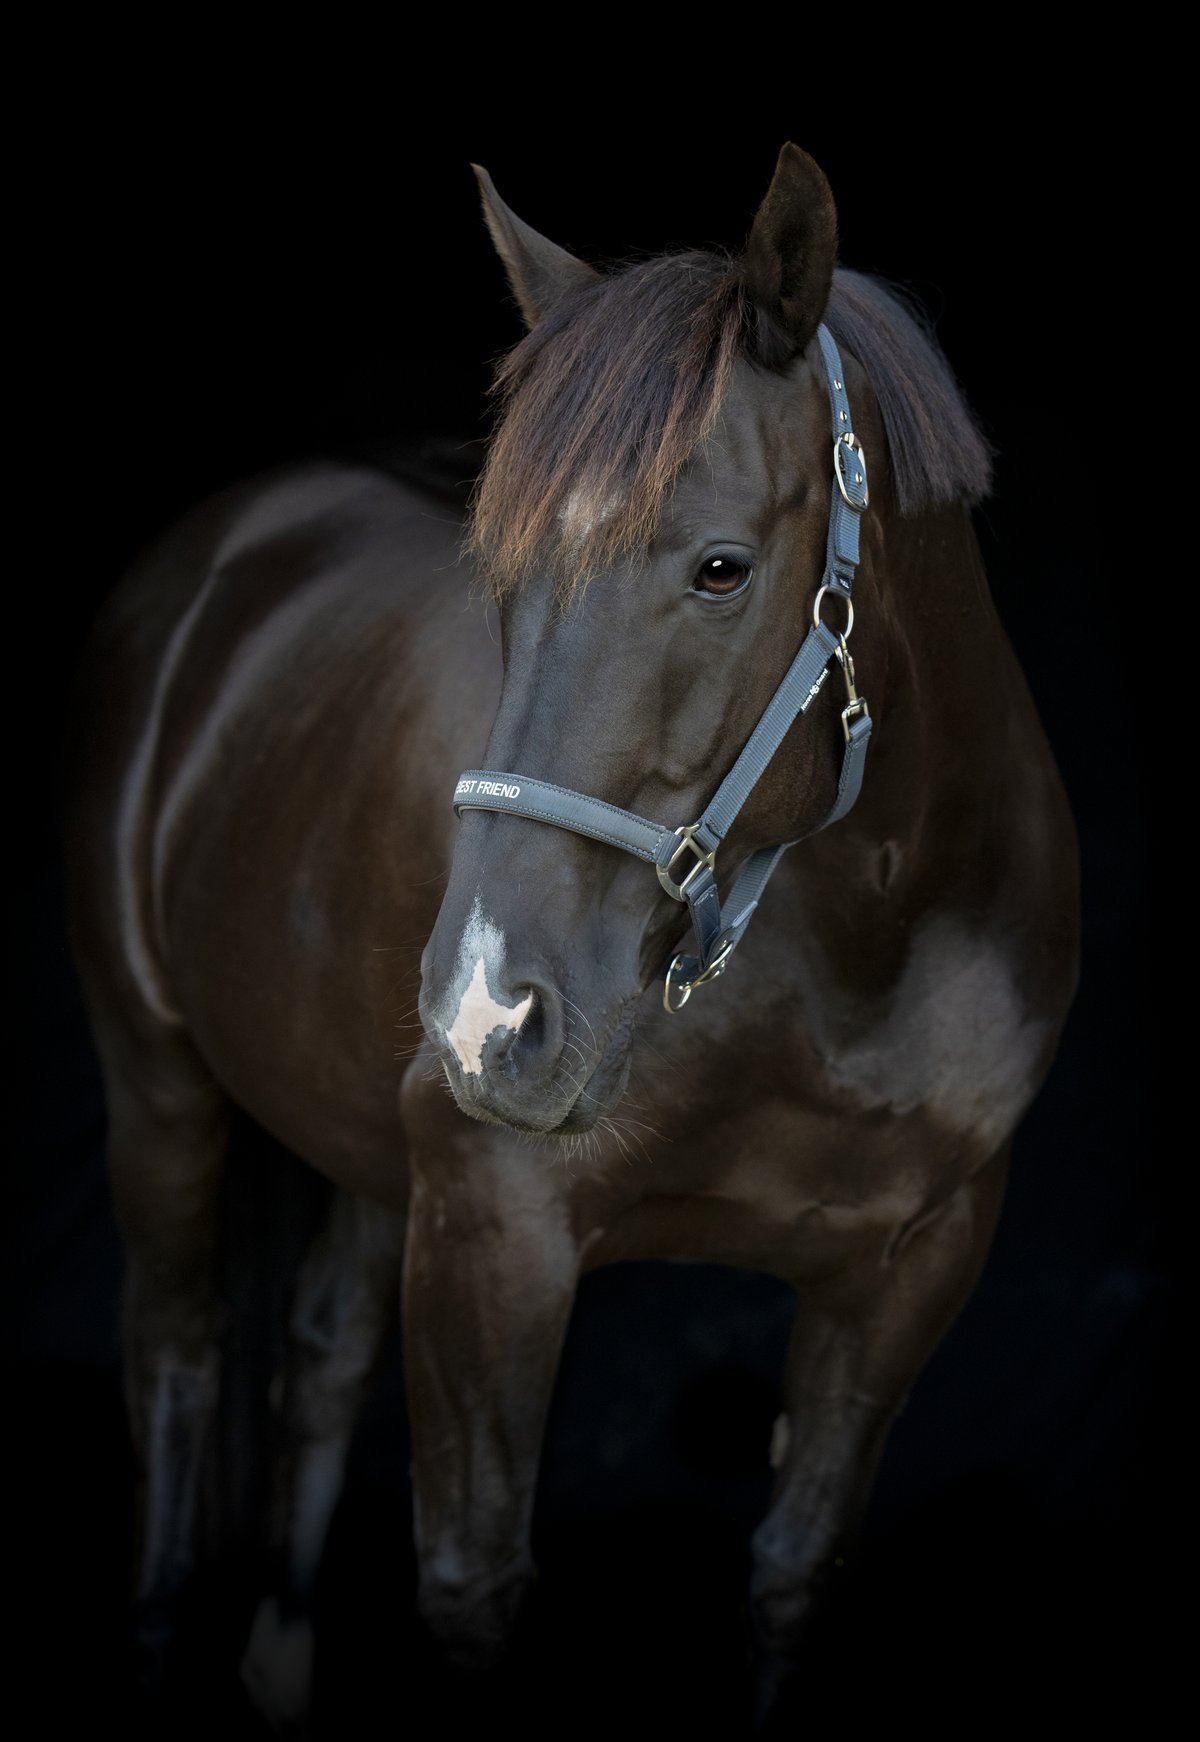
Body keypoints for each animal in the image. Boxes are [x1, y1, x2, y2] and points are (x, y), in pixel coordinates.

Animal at [62, 142, 1080, 1729]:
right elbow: (474, 1583)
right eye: (499, 572)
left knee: (316, 1355)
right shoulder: (496, 1226)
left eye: (722, 568)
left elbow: (795, 1570)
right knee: (176, 1361)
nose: (486, 1015)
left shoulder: (914, 1263)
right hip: (161, 1082)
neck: (865, 948)